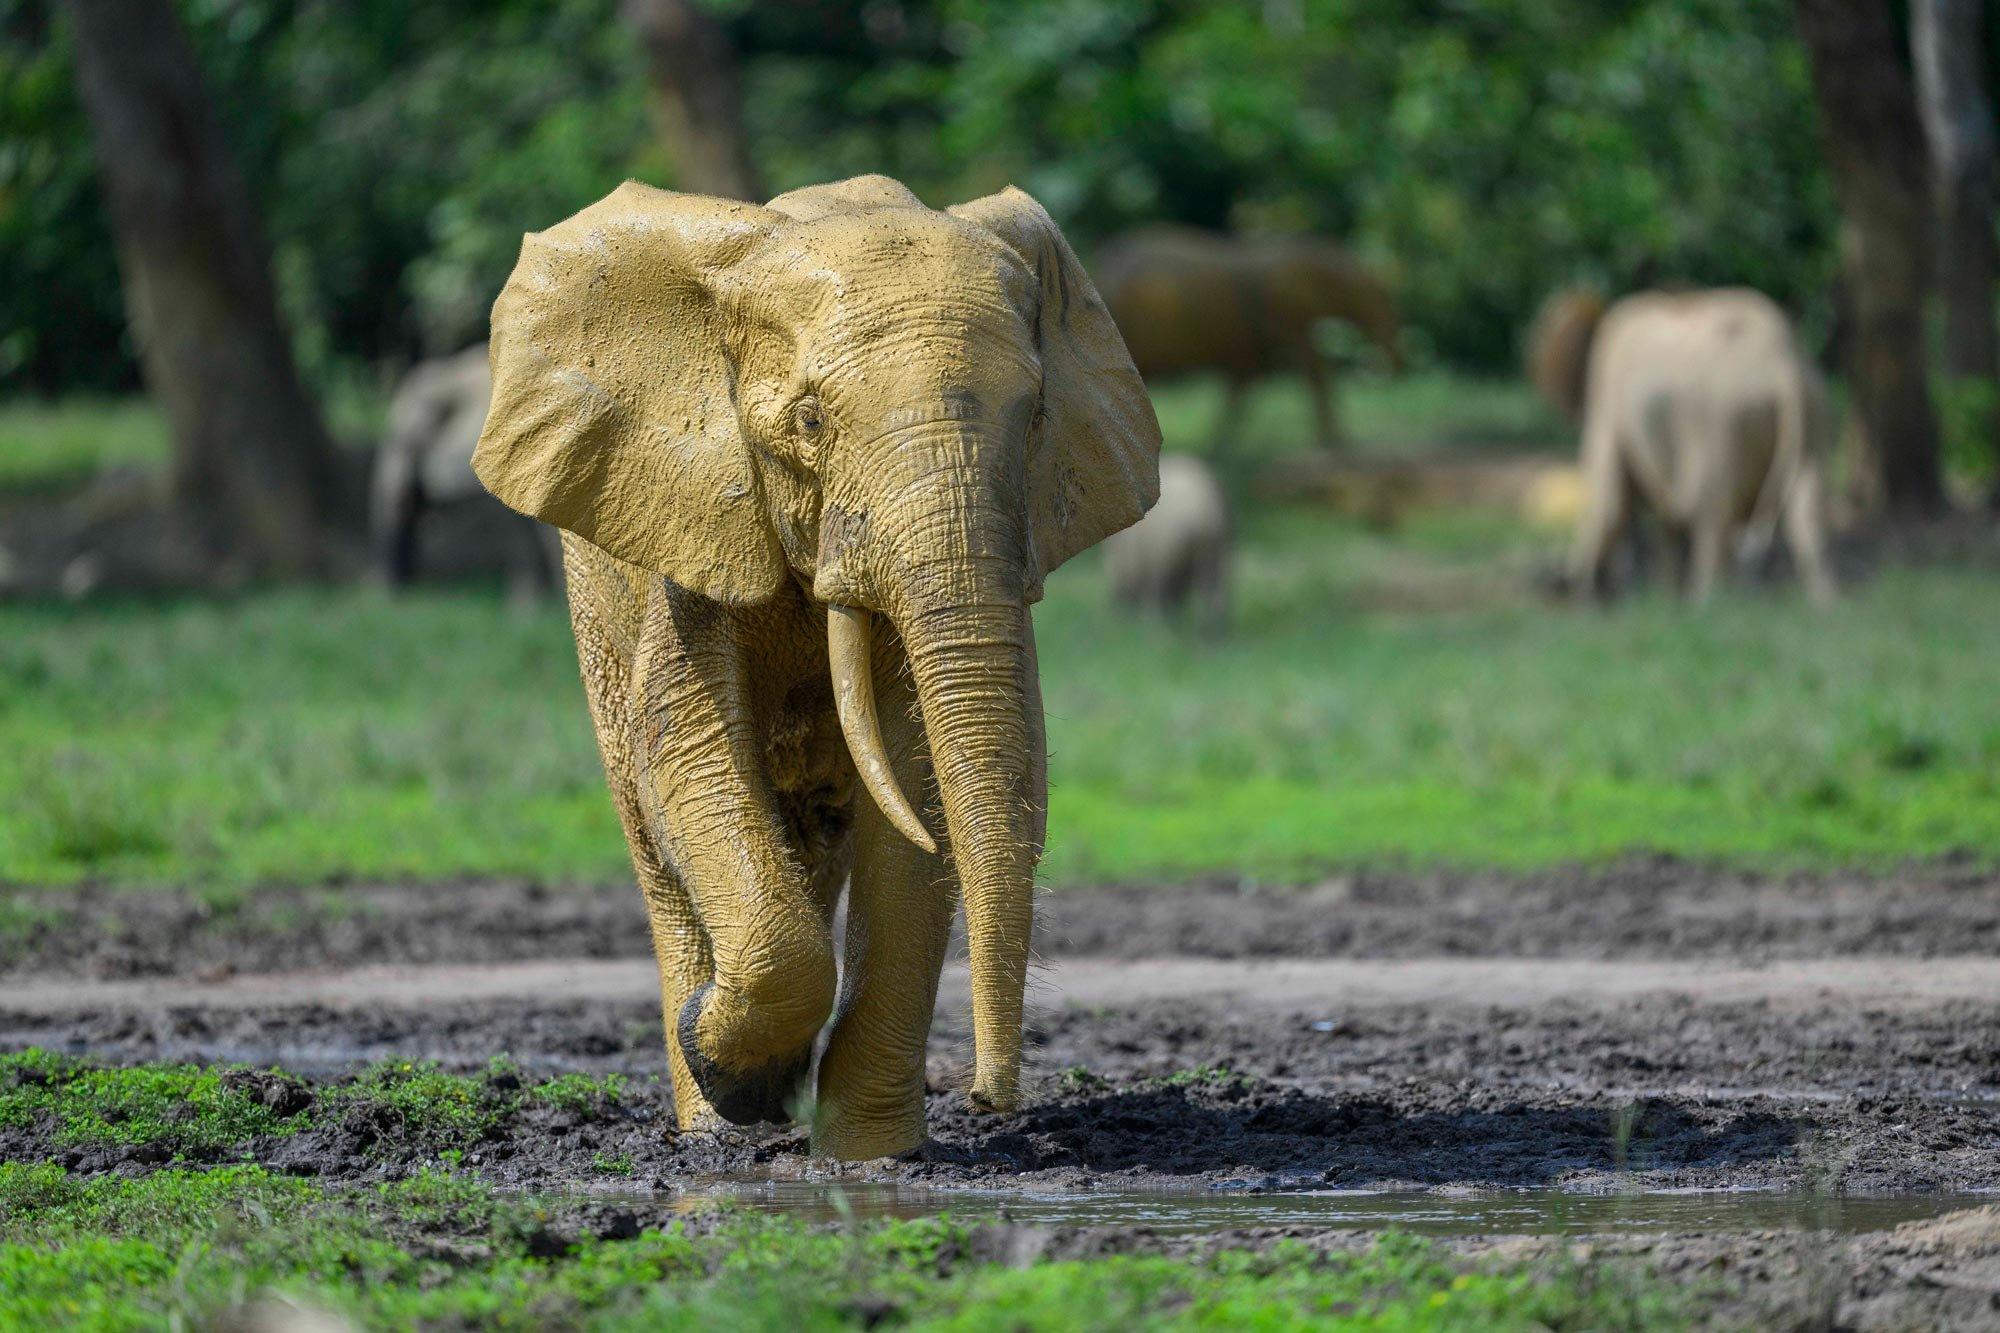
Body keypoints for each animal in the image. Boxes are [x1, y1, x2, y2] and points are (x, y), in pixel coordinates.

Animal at [472, 175, 1160, 1160]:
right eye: (810, 421)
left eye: (1034, 420)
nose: (991, 1099)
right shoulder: (695, 523)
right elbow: (688, 754)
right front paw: (737, 1081)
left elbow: (919, 784)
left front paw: (871, 1157)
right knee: (652, 832)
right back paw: (711, 1127)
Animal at [1094, 227, 1407, 451]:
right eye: (1363, 295)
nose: (1385, 370)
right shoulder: (1283, 312)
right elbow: (1307, 368)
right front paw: (1336, 442)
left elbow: (1246, 378)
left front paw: (1221, 443)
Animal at [1538, 287, 1836, 605]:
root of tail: (1784, 373)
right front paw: (1662, 600)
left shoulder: (1606, 399)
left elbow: (1609, 500)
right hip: (1814, 412)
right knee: (1806, 512)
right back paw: (1824, 605)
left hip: (1721, 423)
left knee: (1714, 519)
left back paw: (1706, 603)